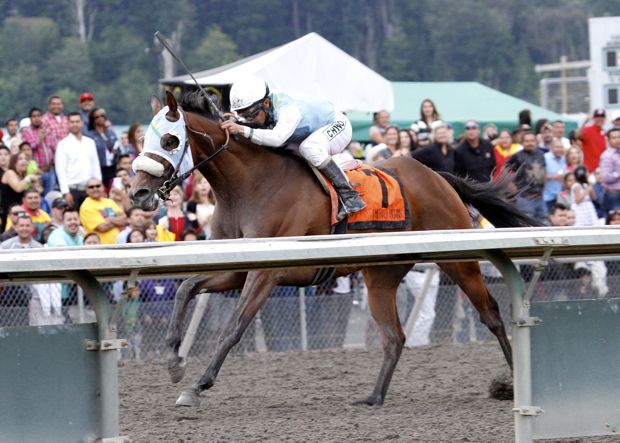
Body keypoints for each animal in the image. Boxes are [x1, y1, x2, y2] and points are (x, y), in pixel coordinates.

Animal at [132, 91, 536, 410]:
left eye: (169, 140)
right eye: (143, 139)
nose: (138, 192)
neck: (250, 186)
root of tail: (436, 176)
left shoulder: (265, 272)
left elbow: (233, 328)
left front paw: (196, 386)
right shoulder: (236, 268)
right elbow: (186, 288)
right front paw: (173, 360)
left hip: (459, 260)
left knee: (491, 314)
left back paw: (513, 380)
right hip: (382, 275)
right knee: (394, 337)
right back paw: (373, 397)